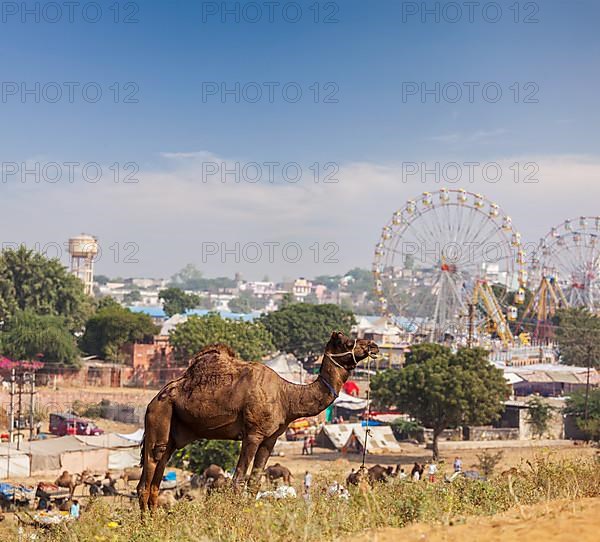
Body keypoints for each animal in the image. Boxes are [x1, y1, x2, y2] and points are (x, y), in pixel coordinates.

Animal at [138, 332, 378, 516]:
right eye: (348, 342)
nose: (373, 345)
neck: (287, 397)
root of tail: (152, 401)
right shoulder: (253, 434)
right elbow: (238, 480)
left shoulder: (270, 438)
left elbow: (254, 482)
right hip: (159, 416)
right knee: (148, 473)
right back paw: (147, 525)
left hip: (173, 433)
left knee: (157, 475)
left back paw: (155, 520)